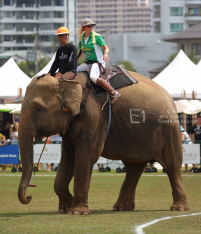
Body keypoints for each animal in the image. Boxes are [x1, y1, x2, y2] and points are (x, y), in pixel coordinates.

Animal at [18, 72, 189, 215]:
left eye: (38, 109)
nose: (30, 195)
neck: (71, 81)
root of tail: (171, 99)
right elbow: (68, 159)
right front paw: (65, 209)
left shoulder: (95, 117)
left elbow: (86, 156)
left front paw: (77, 212)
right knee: (134, 167)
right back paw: (121, 208)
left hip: (169, 128)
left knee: (172, 166)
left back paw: (178, 208)